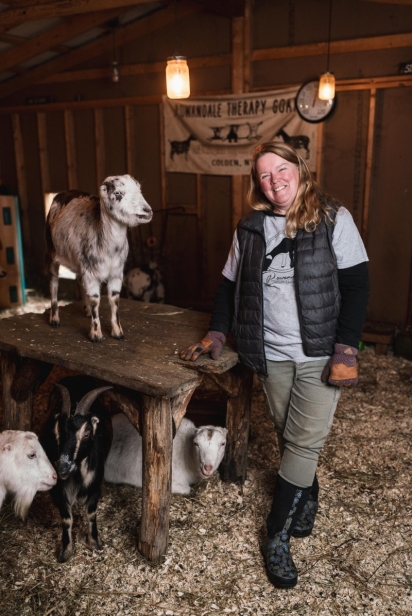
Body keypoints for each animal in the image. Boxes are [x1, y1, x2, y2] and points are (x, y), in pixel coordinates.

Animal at [40, 376, 112, 564]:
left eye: (86, 434)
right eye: (57, 432)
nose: (63, 467)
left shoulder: (94, 485)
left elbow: (91, 513)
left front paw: (95, 542)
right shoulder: (57, 490)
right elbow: (66, 519)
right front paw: (66, 550)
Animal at [45, 174, 154, 342]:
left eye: (139, 189)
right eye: (117, 193)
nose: (147, 211)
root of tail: (65, 192)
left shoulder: (116, 272)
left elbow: (114, 299)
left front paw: (118, 332)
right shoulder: (91, 273)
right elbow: (95, 299)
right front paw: (96, 334)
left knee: (79, 281)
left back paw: (86, 311)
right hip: (51, 251)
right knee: (54, 283)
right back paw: (54, 319)